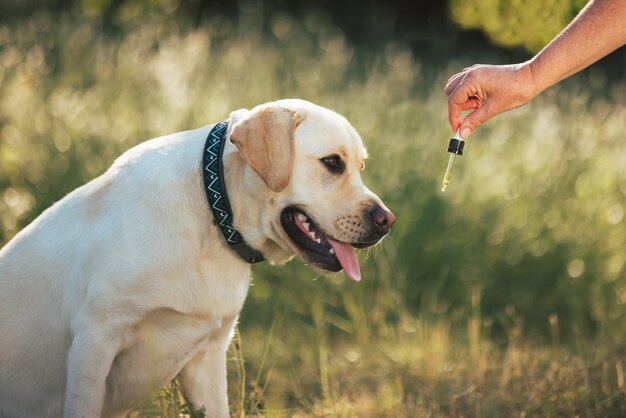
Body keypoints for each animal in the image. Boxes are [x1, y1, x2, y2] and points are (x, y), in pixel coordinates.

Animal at [0, 99, 390, 416]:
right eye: (332, 163)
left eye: (360, 166)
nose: (388, 220)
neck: (215, 214)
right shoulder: (94, 339)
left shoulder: (208, 357)